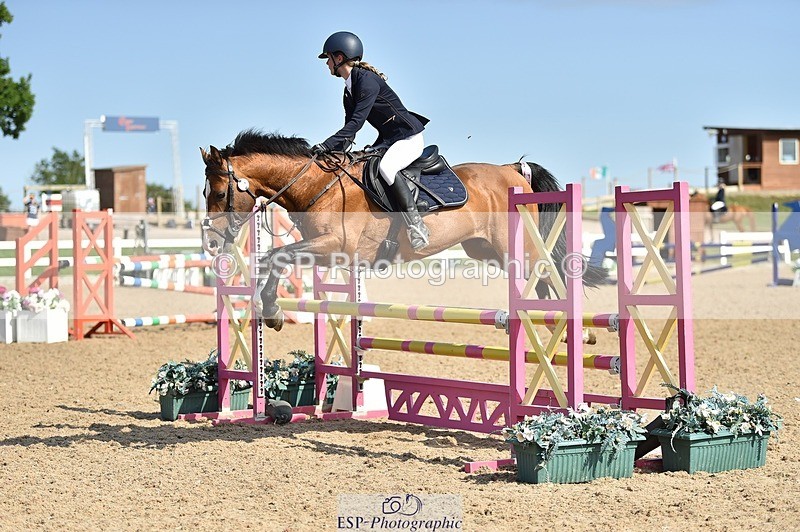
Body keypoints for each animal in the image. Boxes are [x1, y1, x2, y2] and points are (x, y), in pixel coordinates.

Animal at [201, 129, 605, 331]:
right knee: (539, 283)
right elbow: (274, 257)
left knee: (549, 273)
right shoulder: (326, 251)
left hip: (516, 249)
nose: (211, 243)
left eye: (219, 193)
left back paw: (573, 330)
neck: (318, 184)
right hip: (484, 249)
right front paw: (268, 307)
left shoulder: (336, 246)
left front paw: (271, 310)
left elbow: (277, 254)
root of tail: (511, 169)